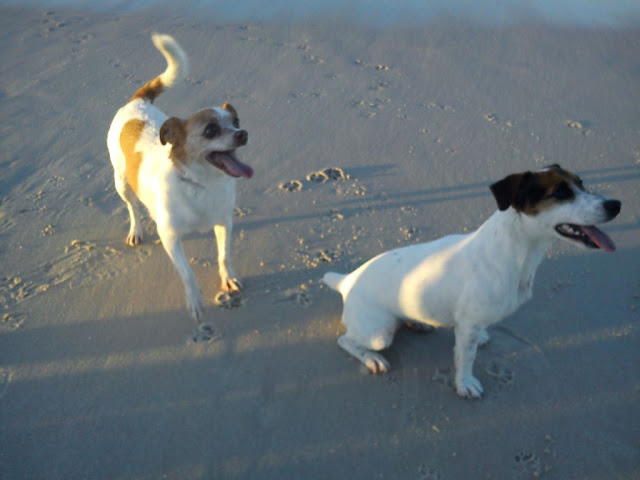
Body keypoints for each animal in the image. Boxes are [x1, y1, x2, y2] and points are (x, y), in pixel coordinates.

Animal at [107, 34, 253, 320]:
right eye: (210, 130)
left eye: (236, 121)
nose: (243, 134)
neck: (203, 184)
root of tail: (137, 102)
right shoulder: (171, 238)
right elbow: (187, 274)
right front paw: (194, 300)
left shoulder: (224, 223)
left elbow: (224, 255)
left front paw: (228, 278)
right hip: (121, 182)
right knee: (132, 208)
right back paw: (136, 230)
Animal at [323, 165, 620, 398]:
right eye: (560, 192)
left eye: (581, 182)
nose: (616, 204)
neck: (514, 251)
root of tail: (347, 280)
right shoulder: (468, 326)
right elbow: (466, 358)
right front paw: (464, 384)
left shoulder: (472, 323)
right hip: (378, 333)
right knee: (346, 340)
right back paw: (373, 358)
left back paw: (418, 322)